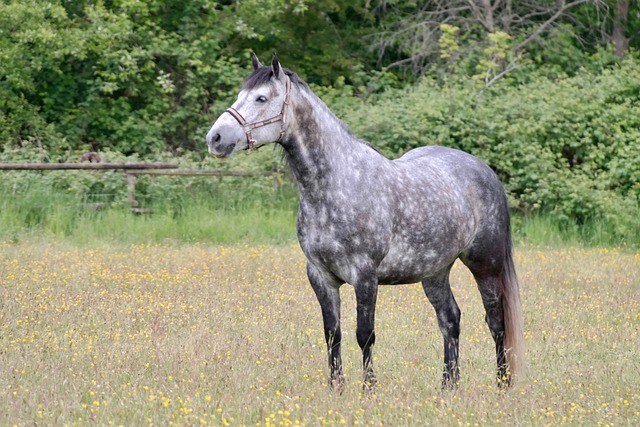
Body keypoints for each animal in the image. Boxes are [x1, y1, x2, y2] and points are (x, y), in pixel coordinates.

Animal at [206, 53, 524, 392]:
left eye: (261, 98)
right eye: (240, 95)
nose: (215, 138)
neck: (337, 184)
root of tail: (484, 171)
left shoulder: (365, 276)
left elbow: (364, 334)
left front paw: (368, 390)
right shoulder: (320, 276)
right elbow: (333, 334)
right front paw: (337, 388)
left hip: (485, 266)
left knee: (496, 322)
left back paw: (502, 384)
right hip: (435, 271)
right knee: (450, 320)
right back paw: (448, 387)